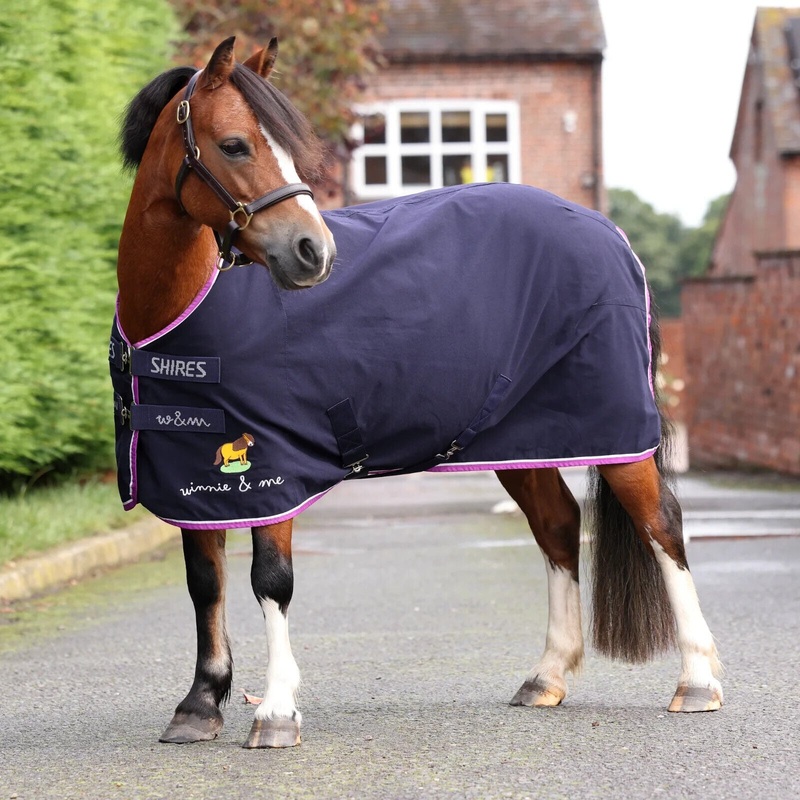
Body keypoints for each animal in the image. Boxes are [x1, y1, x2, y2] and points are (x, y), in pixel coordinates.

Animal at [112, 36, 723, 749]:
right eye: (235, 145)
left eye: (289, 147)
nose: (313, 252)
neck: (185, 311)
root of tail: (610, 232)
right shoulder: (194, 473)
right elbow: (205, 582)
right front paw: (200, 703)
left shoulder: (274, 469)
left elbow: (272, 581)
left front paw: (276, 711)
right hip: (524, 442)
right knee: (558, 525)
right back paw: (546, 677)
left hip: (617, 436)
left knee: (663, 526)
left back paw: (697, 682)